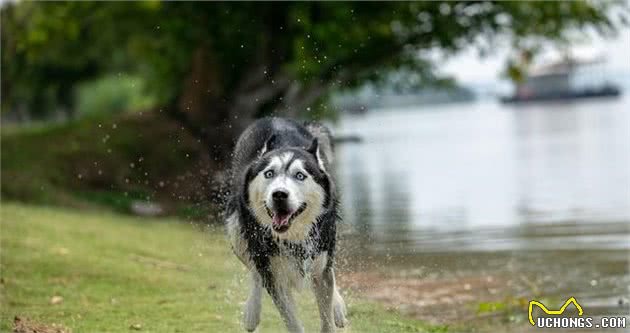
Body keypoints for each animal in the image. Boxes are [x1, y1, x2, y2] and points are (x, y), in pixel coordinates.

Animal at [226, 118, 348, 330]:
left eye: (300, 175)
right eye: (269, 174)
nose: (279, 194)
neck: (294, 236)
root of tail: (272, 117)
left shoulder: (320, 265)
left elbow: (326, 313)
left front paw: (334, 309)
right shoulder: (274, 275)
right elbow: (292, 321)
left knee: (330, 270)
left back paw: (338, 307)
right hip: (236, 230)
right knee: (254, 270)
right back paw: (251, 313)